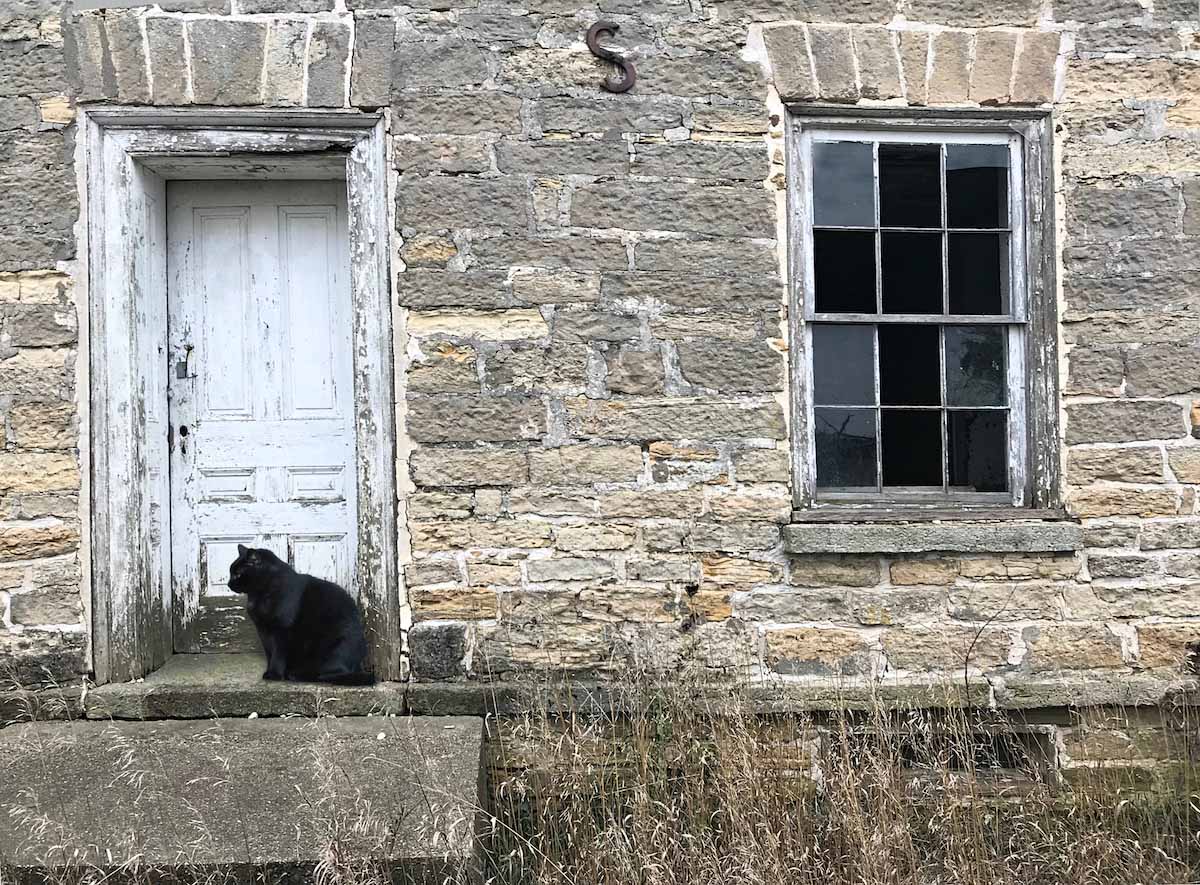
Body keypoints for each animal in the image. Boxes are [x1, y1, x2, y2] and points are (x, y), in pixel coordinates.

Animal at [225, 544, 372, 681]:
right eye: (231, 572)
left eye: (237, 574)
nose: (228, 584)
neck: (259, 595)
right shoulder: (262, 630)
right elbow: (269, 653)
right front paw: (270, 671)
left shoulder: (281, 631)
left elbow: (277, 654)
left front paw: (274, 674)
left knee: (327, 674)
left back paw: (295, 675)